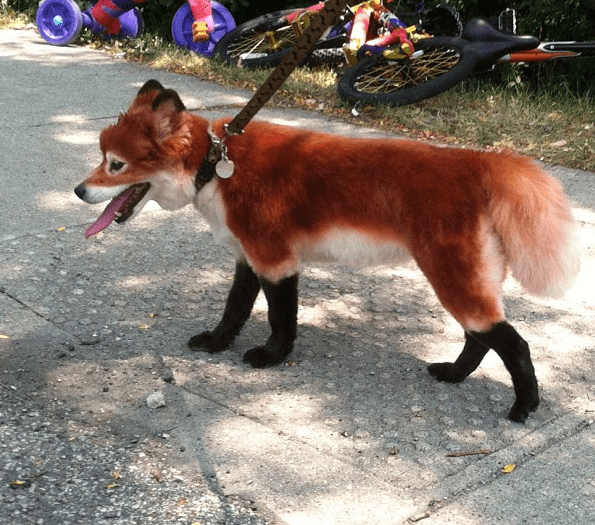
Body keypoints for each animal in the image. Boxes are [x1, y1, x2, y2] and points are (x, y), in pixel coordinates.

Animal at [75, 79, 584, 422]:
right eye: (103, 159)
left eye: (115, 165)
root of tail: (480, 162)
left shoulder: (275, 260)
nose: (78, 191)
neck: (216, 164)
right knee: (480, 337)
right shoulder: (247, 257)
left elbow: (280, 319)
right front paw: (218, 344)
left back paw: (525, 406)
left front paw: (271, 357)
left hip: (454, 279)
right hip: (466, 280)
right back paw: (454, 375)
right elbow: (234, 309)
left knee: (512, 342)